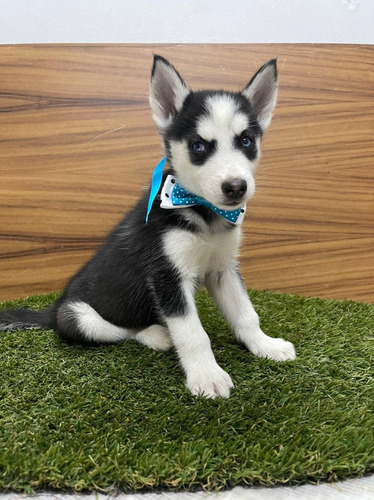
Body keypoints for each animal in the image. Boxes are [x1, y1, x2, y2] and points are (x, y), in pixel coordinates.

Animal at [1, 54, 296, 398]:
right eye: (198, 146)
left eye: (246, 141)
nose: (236, 187)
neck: (200, 212)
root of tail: (53, 308)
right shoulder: (166, 276)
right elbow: (193, 332)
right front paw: (206, 375)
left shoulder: (223, 269)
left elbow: (247, 314)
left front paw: (265, 345)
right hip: (76, 315)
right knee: (122, 330)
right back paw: (157, 334)